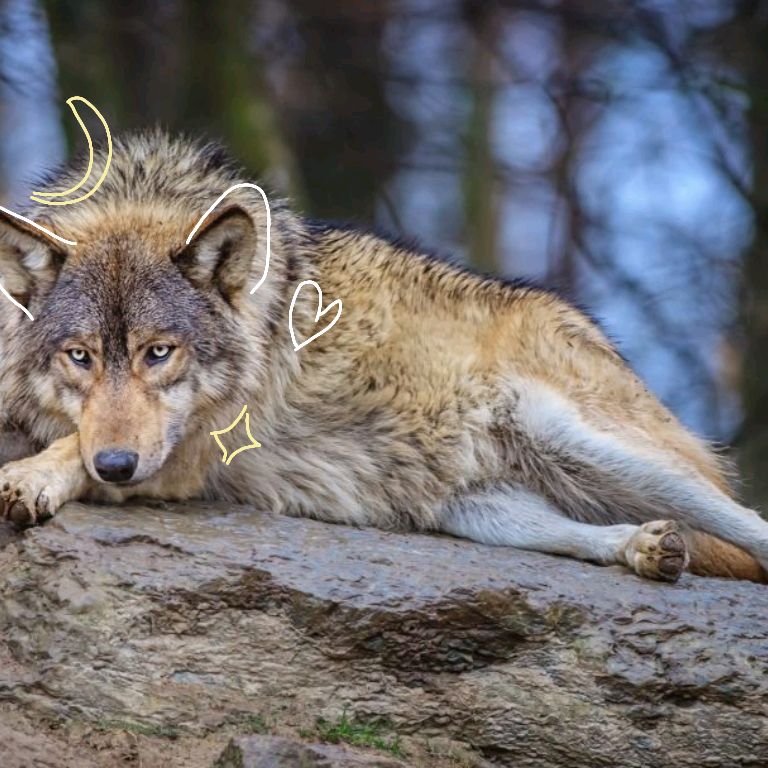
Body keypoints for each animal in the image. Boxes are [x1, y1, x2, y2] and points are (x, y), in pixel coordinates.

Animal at [0, 131, 766, 583]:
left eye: (159, 353)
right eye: (80, 356)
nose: (117, 464)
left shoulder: (193, 451)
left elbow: (70, 447)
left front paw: (32, 479)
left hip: (586, 442)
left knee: (750, 524)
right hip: (478, 513)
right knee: (594, 535)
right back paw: (645, 548)